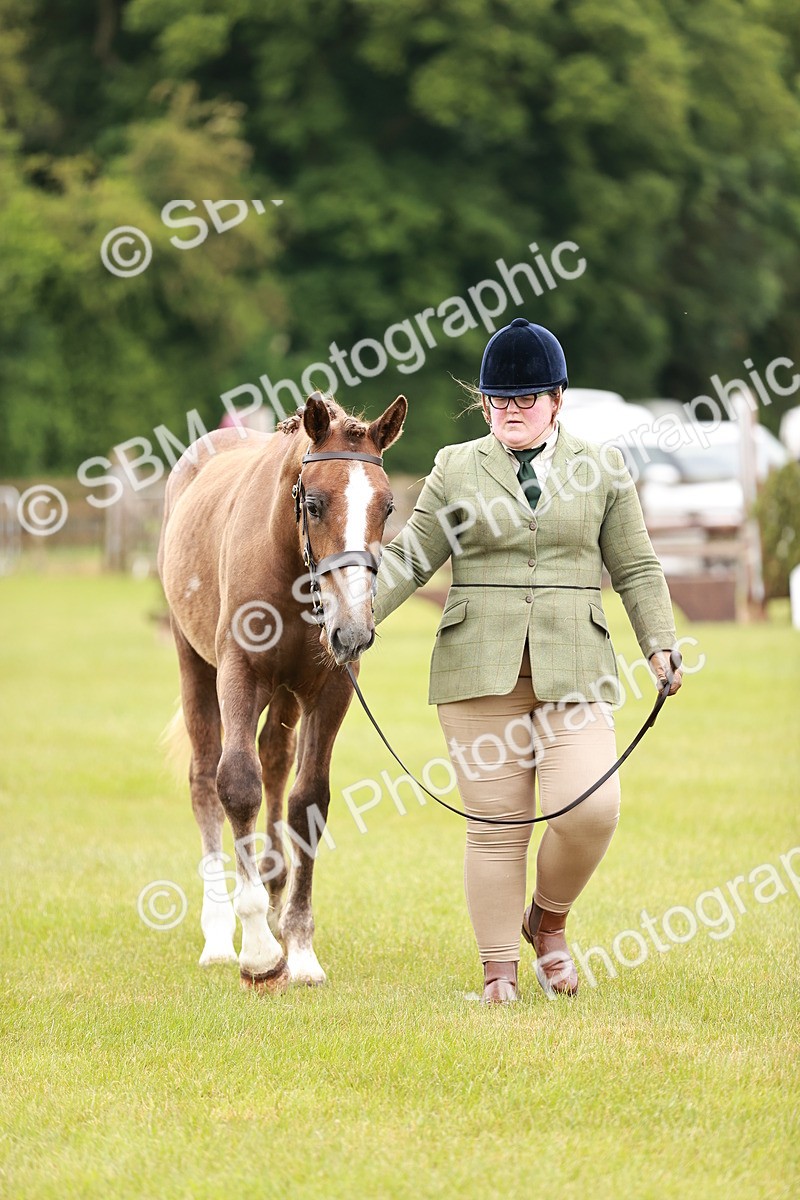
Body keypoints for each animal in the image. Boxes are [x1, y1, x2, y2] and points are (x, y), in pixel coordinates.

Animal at [157, 392, 407, 993]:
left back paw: (272, 891)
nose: (354, 630)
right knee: (206, 776)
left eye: (387, 508)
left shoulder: (331, 688)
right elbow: (237, 785)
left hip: (289, 693)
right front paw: (258, 951)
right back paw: (220, 934)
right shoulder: (240, 674)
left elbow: (306, 799)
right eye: (313, 504)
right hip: (194, 664)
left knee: (275, 757)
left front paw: (299, 948)